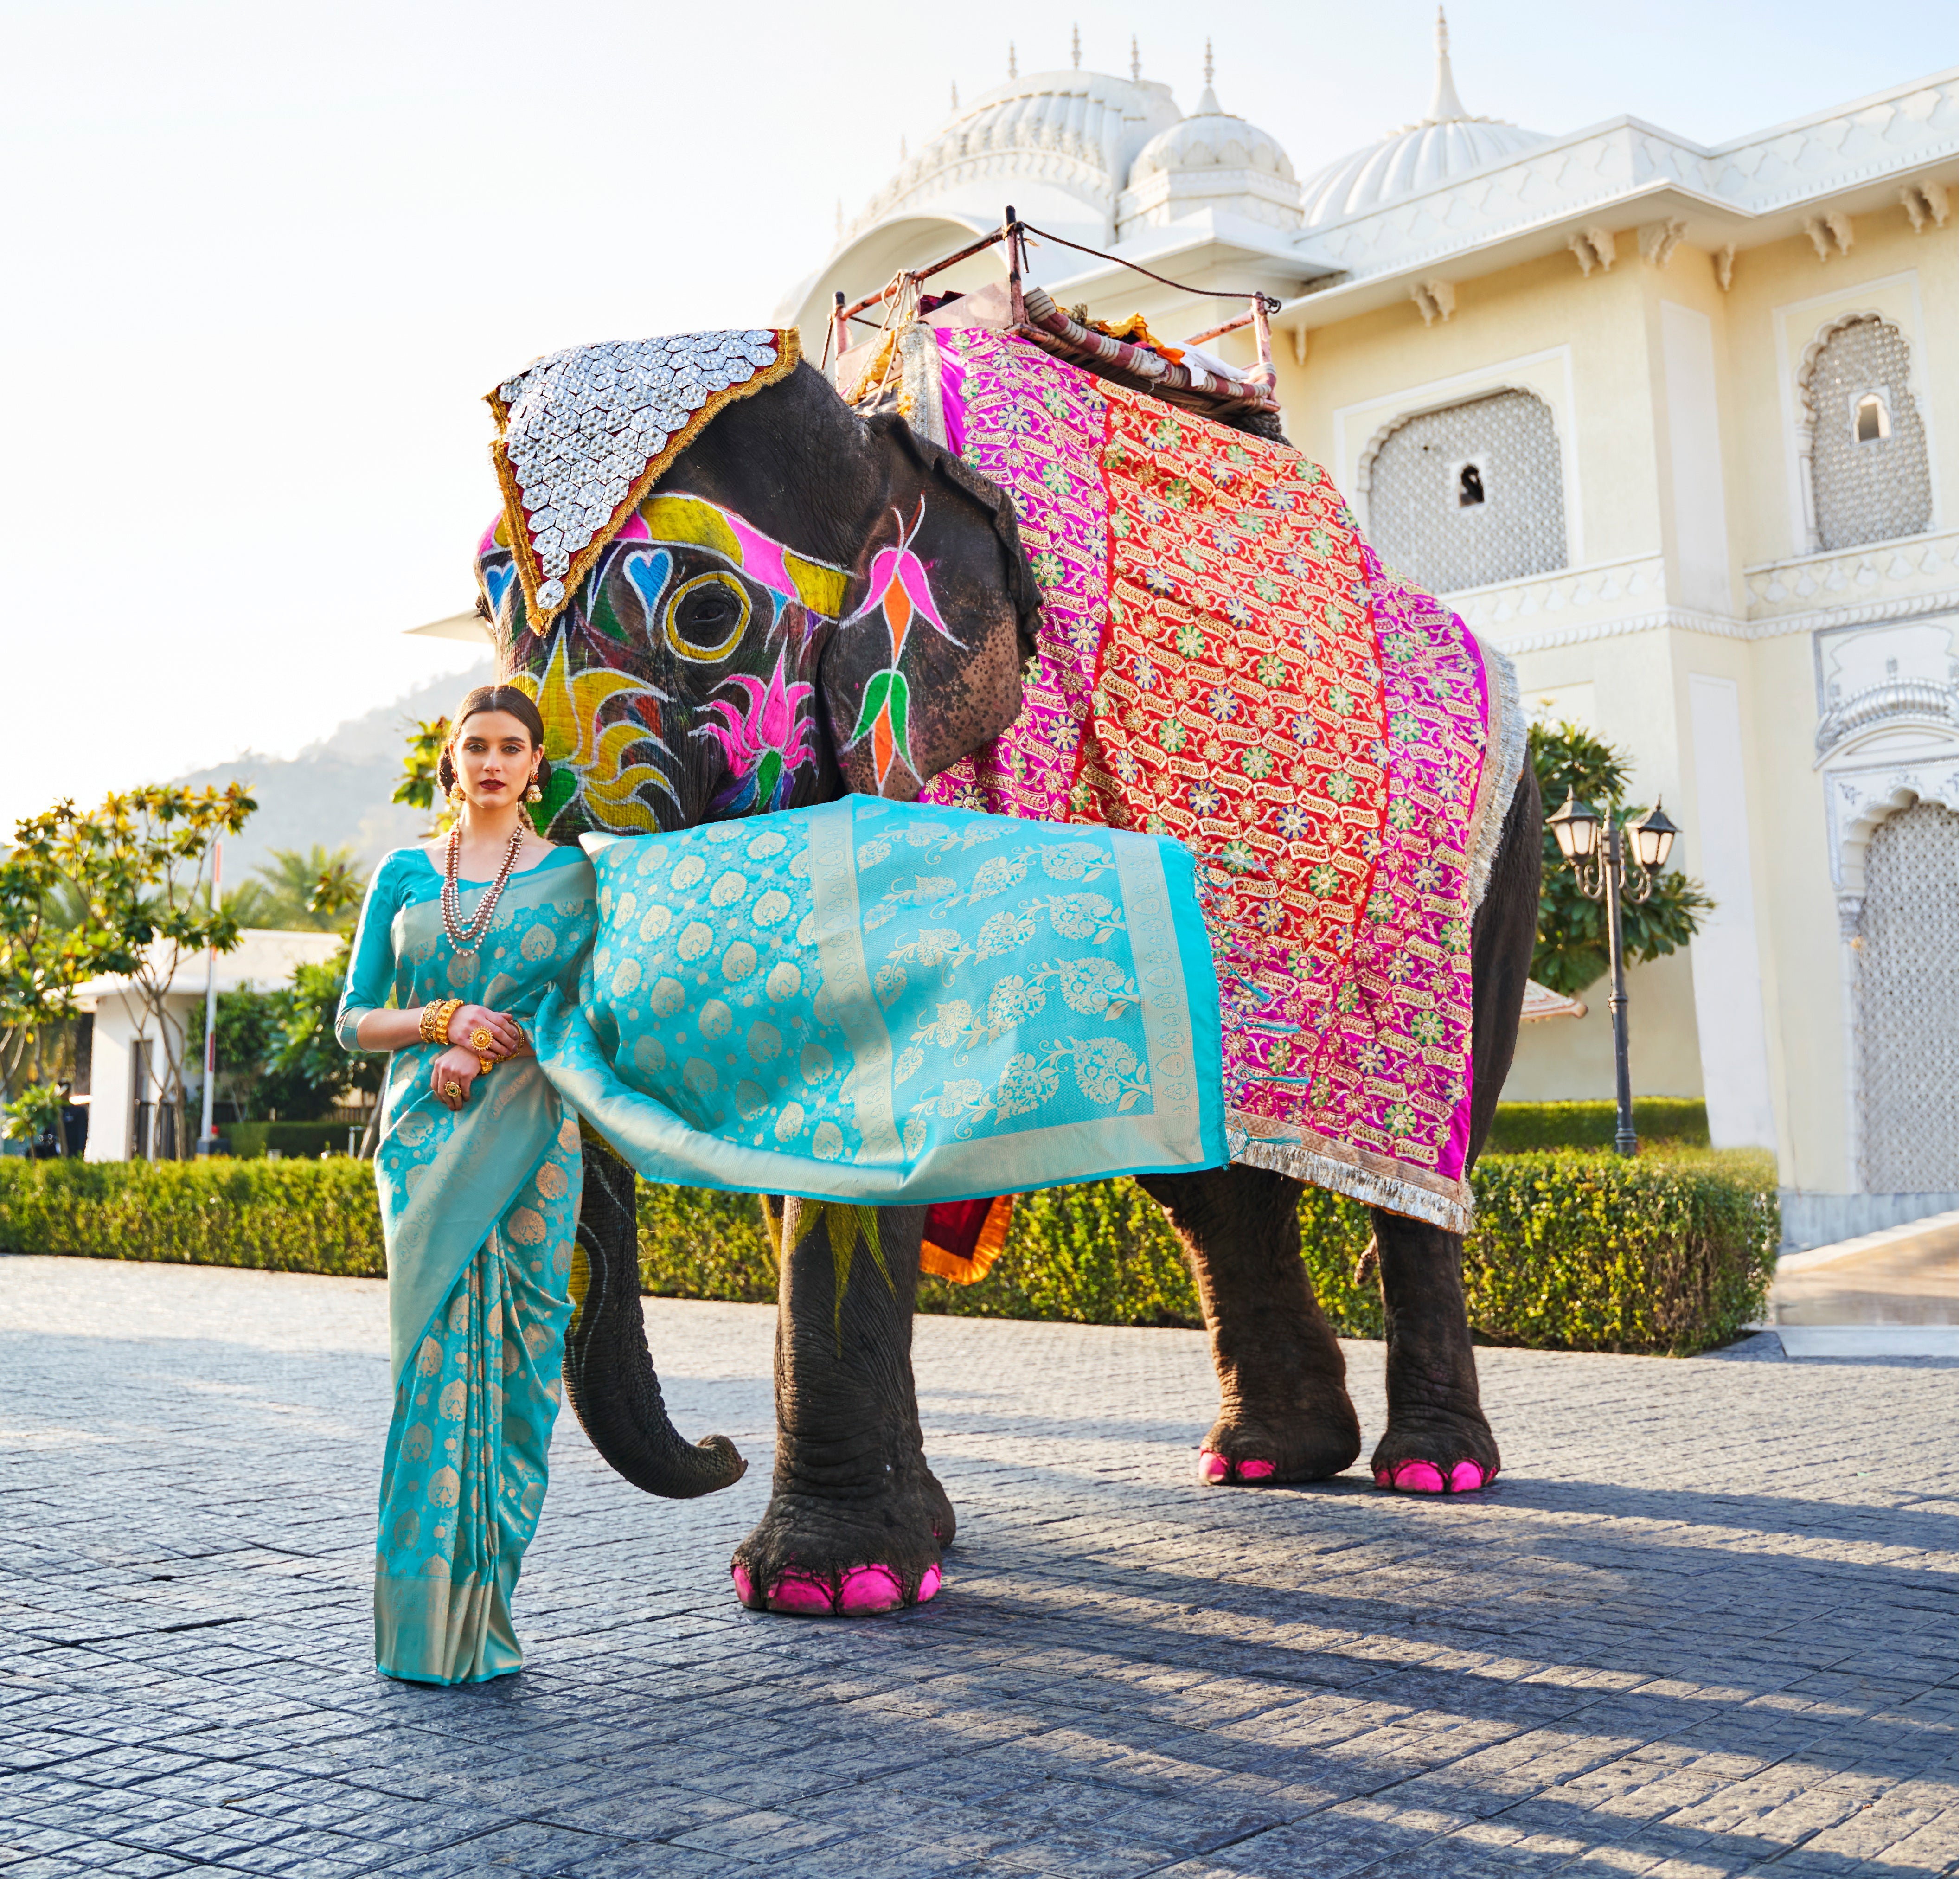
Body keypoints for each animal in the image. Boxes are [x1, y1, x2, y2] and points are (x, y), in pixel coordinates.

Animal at [478, 337, 1544, 1614]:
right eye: (492, 607)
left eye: (704, 614)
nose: (717, 1448)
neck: (888, 442)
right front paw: (911, 1551)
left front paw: (828, 1587)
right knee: (1213, 1191)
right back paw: (1269, 1459)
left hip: (1485, 882)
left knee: (1416, 1187)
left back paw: (1431, 1471)